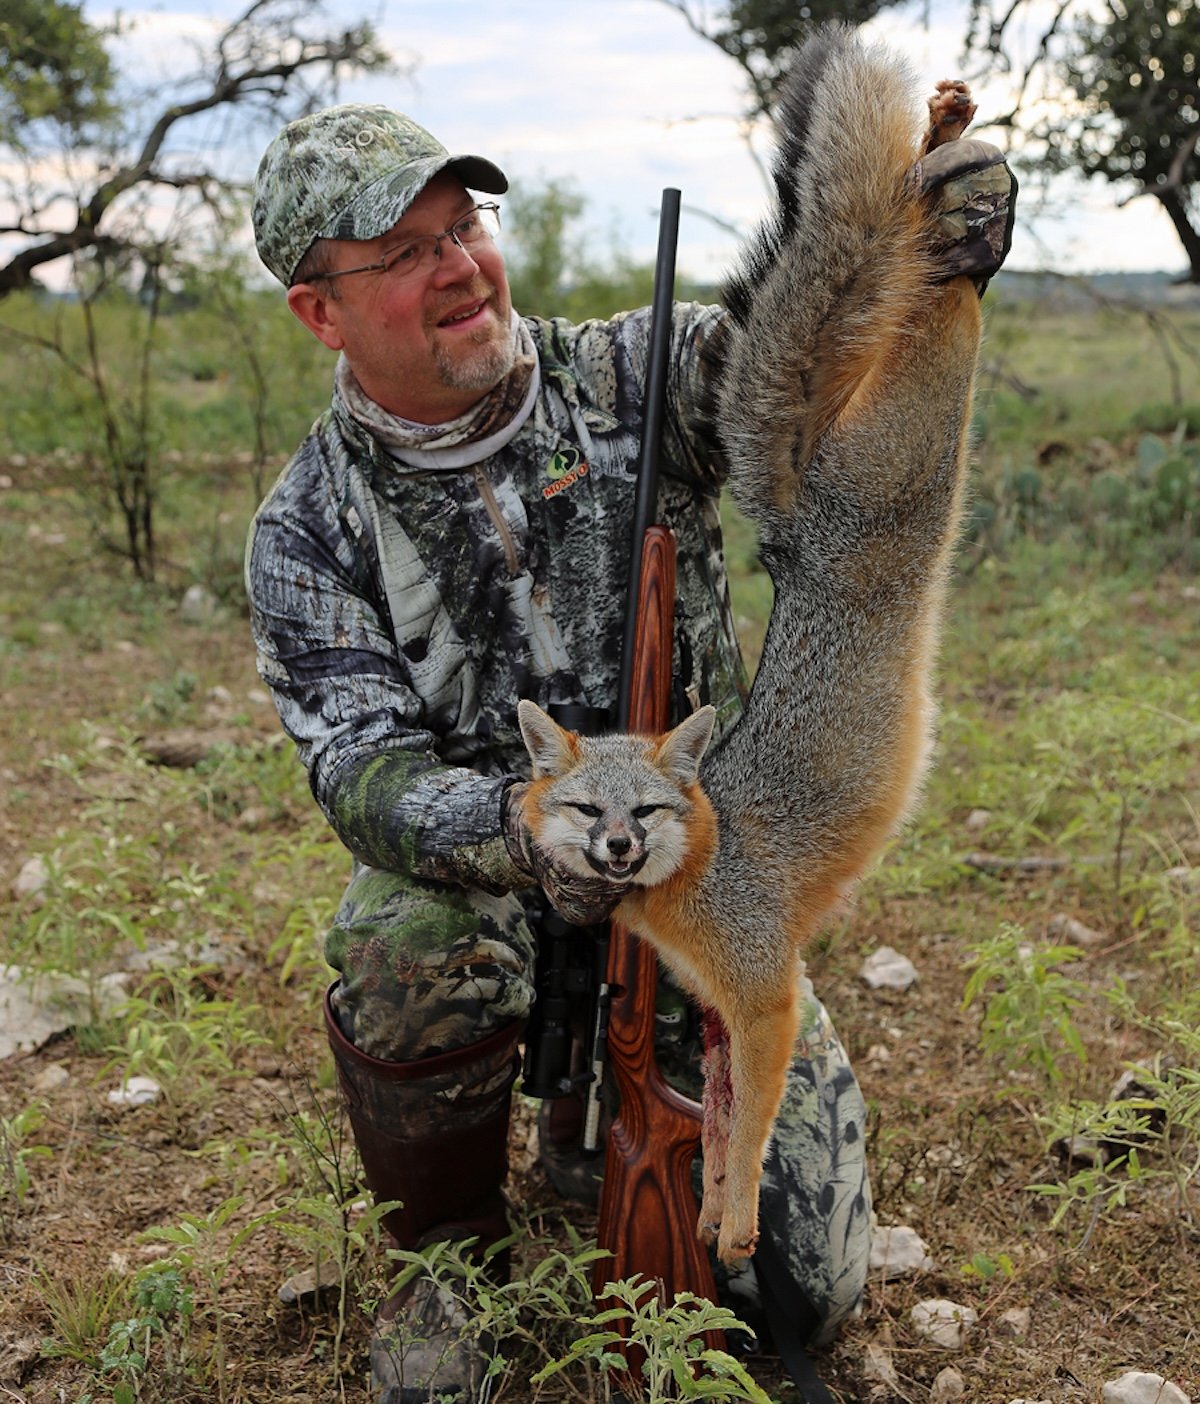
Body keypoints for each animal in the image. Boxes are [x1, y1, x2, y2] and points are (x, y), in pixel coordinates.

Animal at [516, 27, 988, 1269]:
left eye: (647, 809)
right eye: (587, 811)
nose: (619, 851)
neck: (689, 876)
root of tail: (792, 527)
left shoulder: (766, 997)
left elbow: (755, 1123)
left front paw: (726, 1222)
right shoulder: (728, 1010)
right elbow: (721, 1114)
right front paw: (712, 1215)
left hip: (916, 446)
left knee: (942, 293)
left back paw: (959, 180)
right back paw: (947, 146)